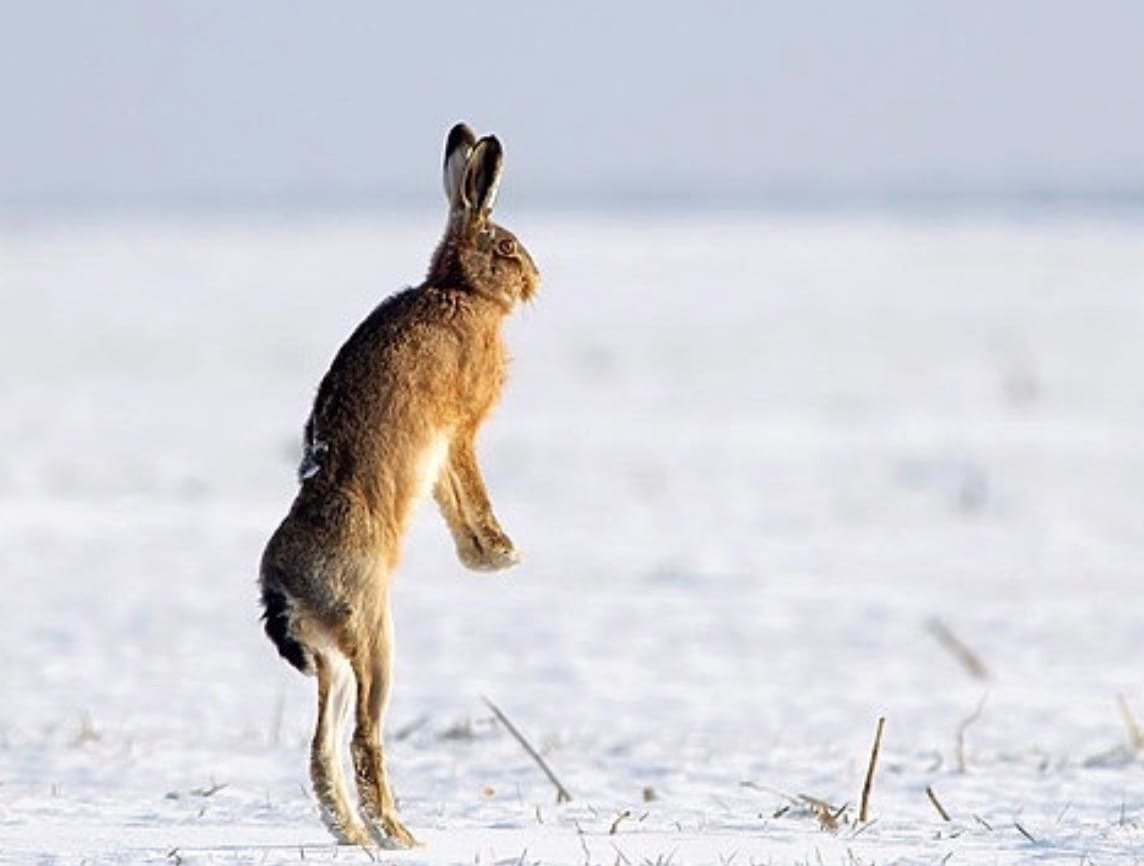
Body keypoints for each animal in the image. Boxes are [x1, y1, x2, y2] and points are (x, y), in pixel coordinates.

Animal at [259, 122, 539, 849]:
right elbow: (472, 490)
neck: (460, 291)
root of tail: (281, 583)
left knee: (322, 747)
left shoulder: (438, 459)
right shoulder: (461, 428)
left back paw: (354, 836)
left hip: (331, 656)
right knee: (362, 737)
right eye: (506, 246)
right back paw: (397, 836)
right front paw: (501, 556)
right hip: (373, 632)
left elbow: (450, 500)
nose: (536, 278)